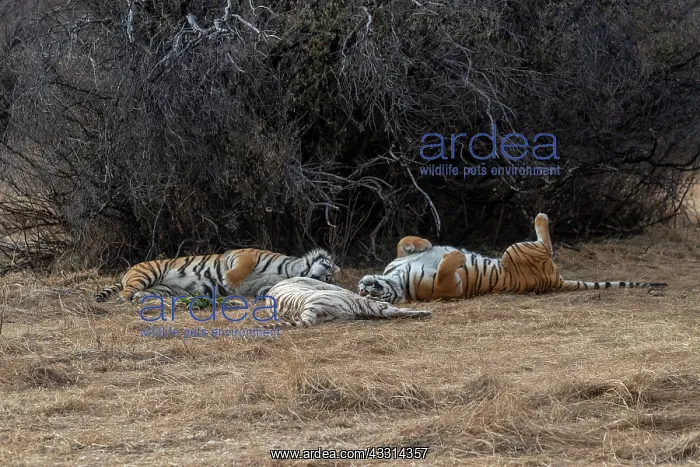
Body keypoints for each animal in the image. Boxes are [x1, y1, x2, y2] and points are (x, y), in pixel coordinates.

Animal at [358, 213, 667, 303]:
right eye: (365, 295)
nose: (363, 286)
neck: (396, 280)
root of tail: (557, 282)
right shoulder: (448, 289)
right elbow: (447, 269)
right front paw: (456, 254)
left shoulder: (398, 259)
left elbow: (403, 242)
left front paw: (425, 243)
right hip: (515, 250)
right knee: (547, 245)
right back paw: (540, 216)